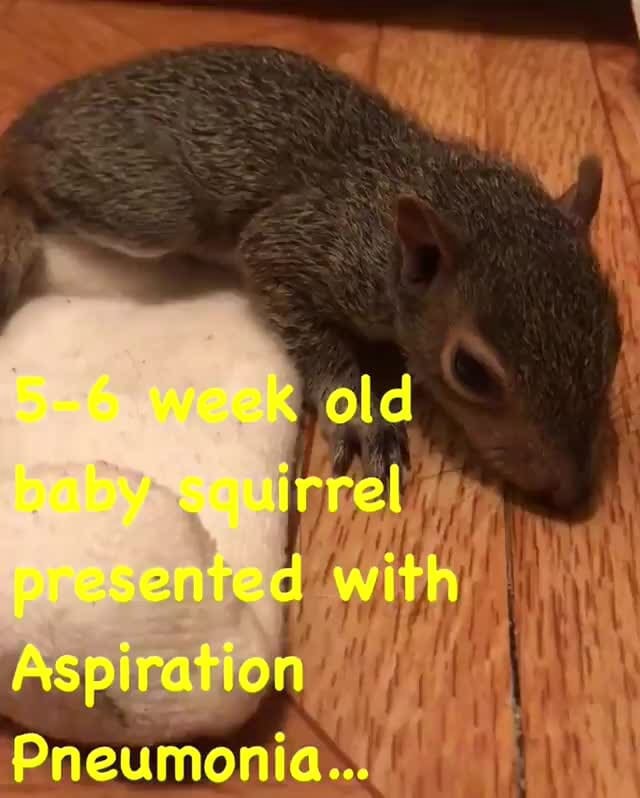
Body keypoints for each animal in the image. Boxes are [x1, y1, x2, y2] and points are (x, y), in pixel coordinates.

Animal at [0, 44, 622, 512]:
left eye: (614, 339)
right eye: (469, 371)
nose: (570, 493)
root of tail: (53, 105)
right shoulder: (305, 245)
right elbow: (292, 299)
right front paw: (359, 411)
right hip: (147, 203)